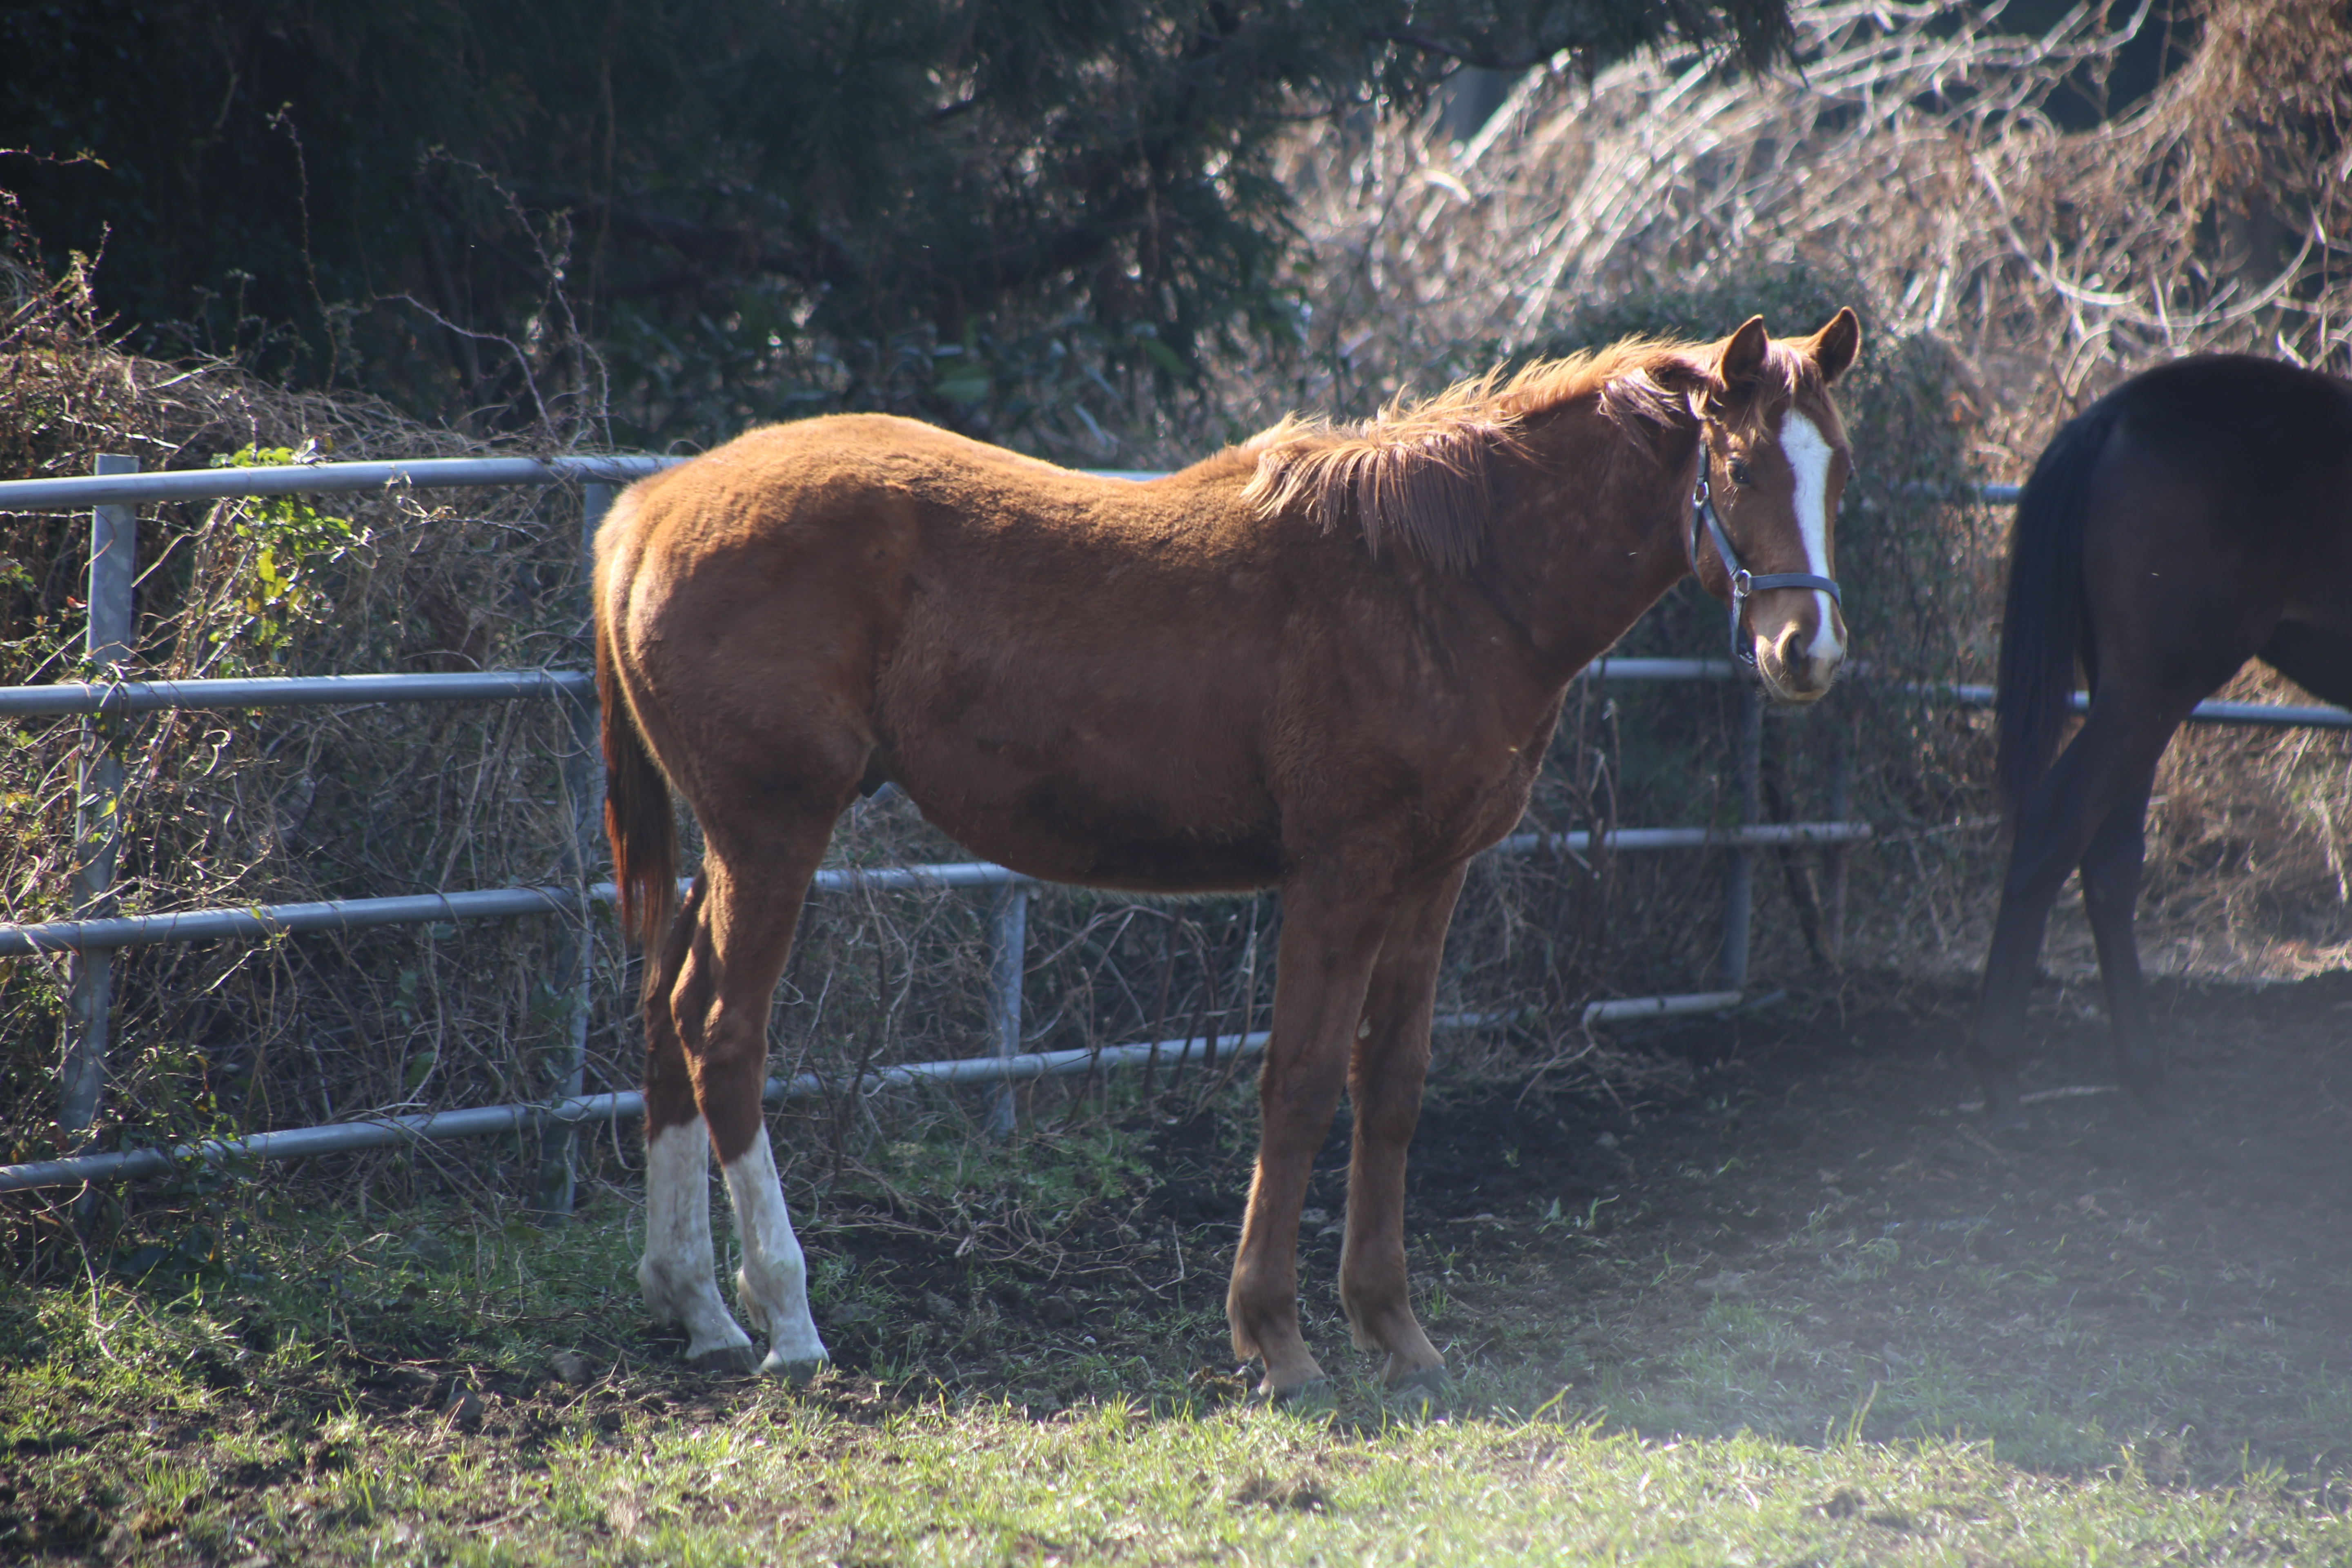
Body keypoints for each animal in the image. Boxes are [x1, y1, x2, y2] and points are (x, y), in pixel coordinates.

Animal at [588, 310, 1853, 1401]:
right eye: (1741, 469)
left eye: (1835, 470)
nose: (1808, 651)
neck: (1445, 581)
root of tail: (647, 509)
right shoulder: (1340, 873)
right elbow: (1297, 1083)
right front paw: (1276, 1342)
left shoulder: (1431, 875)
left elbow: (1391, 1085)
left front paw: (1396, 1333)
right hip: (773, 831)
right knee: (725, 1033)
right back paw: (789, 1319)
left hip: (726, 843)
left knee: (666, 1011)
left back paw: (696, 1306)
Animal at [1966, 355, 2352, 1123]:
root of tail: (2111, 416)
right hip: (2153, 691)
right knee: (2057, 825)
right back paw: (1999, 1068)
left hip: (2134, 697)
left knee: (2109, 859)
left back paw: (2143, 1075)